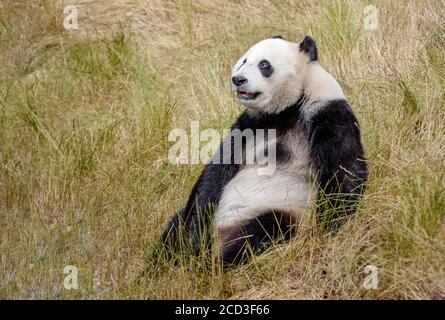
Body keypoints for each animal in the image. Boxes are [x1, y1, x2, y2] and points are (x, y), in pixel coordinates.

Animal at [158, 35, 366, 264]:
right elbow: (215, 173)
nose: (238, 79)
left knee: (263, 230)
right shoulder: (249, 125)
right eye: (243, 61)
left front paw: (331, 228)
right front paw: (191, 238)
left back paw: (220, 261)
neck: (287, 110)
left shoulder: (327, 113)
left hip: (276, 208)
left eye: (264, 65)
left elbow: (343, 171)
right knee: (176, 226)